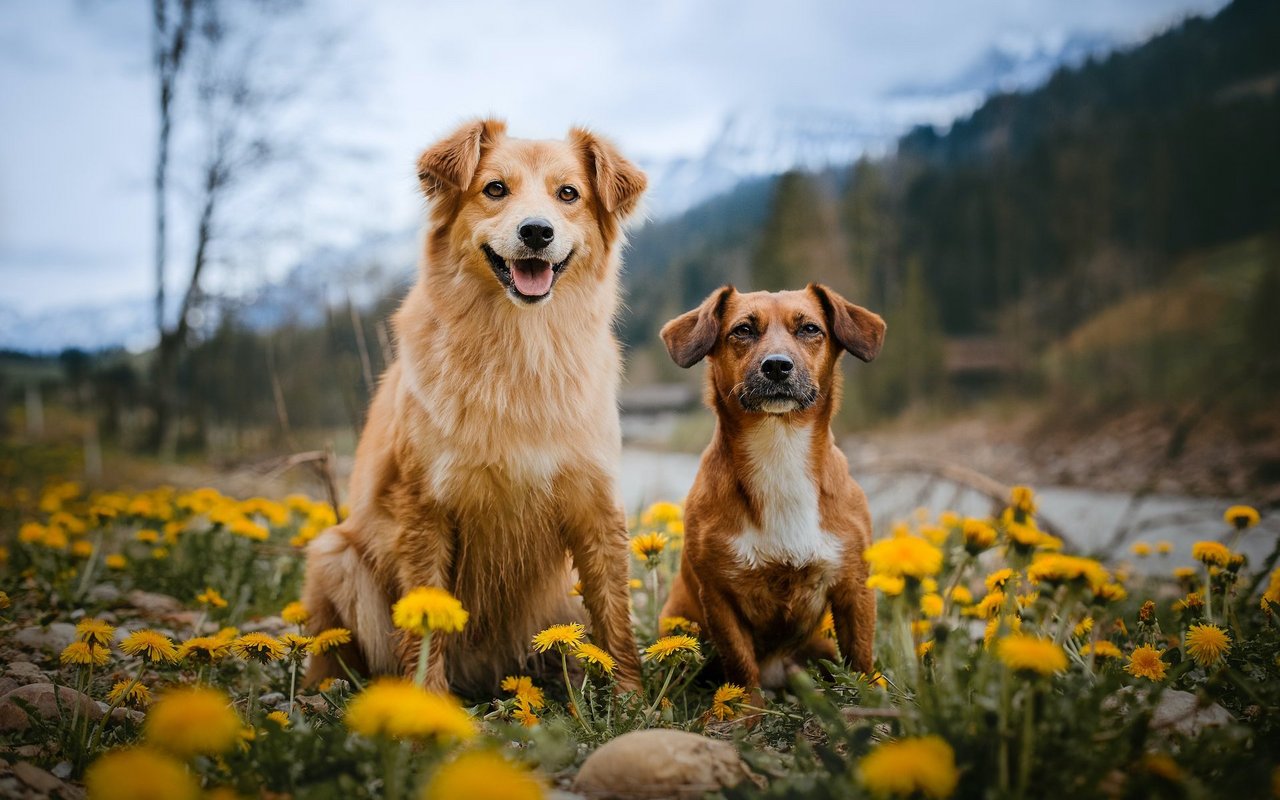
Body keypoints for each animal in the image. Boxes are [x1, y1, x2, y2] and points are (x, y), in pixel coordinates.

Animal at [295, 118, 645, 691]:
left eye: (568, 194)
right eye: (495, 189)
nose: (536, 232)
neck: (519, 348)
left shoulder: (595, 502)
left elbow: (615, 616)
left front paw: (631, 698)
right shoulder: (424, 508)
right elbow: (425, 624)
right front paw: (427, 700)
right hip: (335, 554)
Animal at [655, 284, 885, 696]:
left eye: (810, 328)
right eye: (743, 330)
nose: (777, 366)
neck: (780, 449)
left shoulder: (855, 587)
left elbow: (860, 658)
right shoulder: (719, 597)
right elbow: (741, 667)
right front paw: (745, 709)